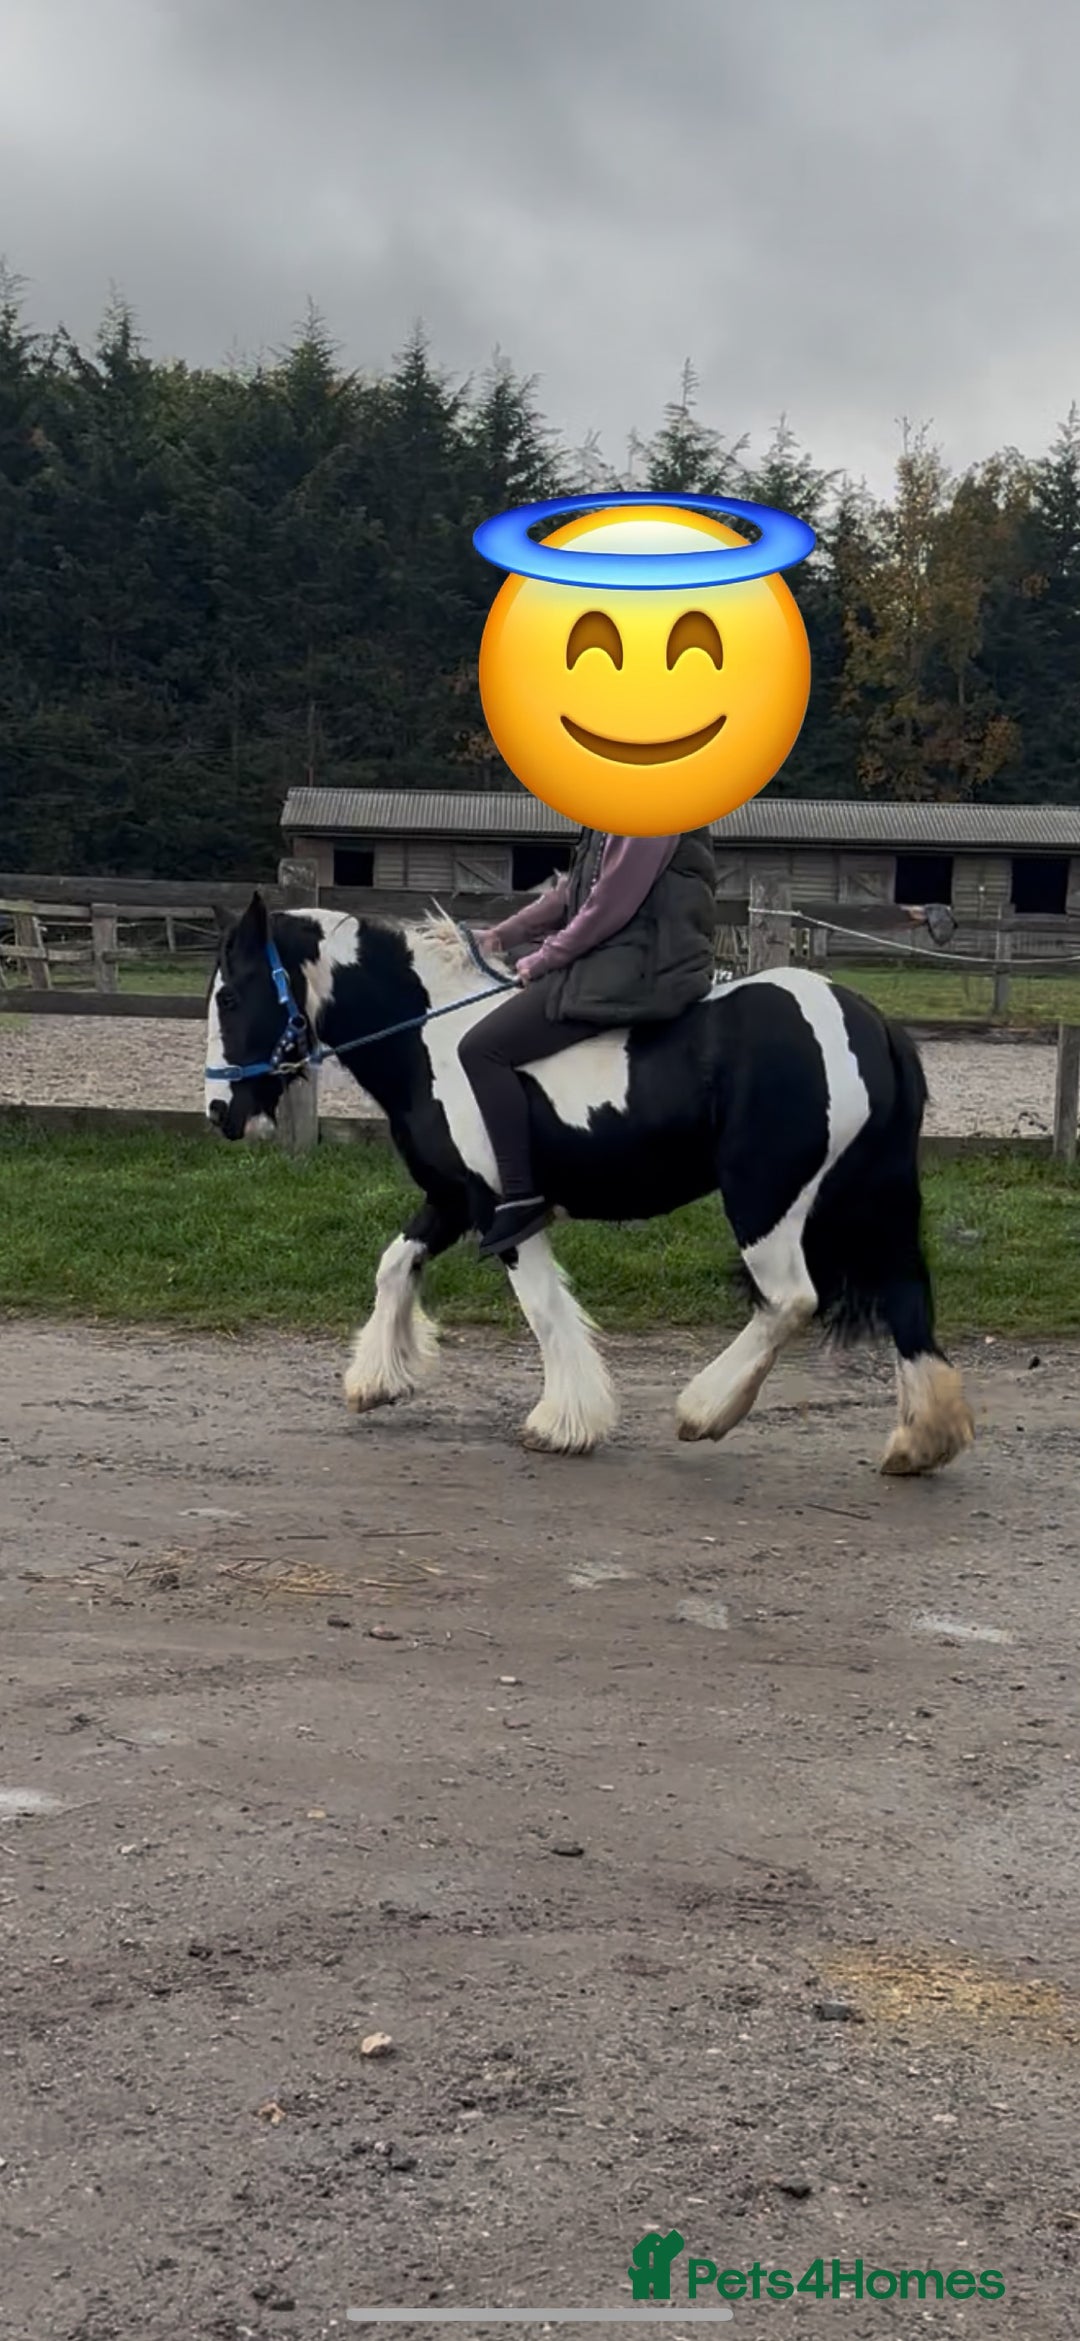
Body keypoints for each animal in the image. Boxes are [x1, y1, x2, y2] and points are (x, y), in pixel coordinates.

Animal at [205, 890, 975, 1475]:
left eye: (232, 995)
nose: (219, 1111)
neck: (431, 1042)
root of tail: (869, 1023)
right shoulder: (452, 1198)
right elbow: (395, 1264)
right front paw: (377, 1380)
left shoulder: (502, 1210)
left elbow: (544, 1308)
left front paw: (563, 1423)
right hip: (873, 1198)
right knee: (907, 1299)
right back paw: (920, 1442)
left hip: (766, 1199)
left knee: (790, 1300)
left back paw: (703, 1410)